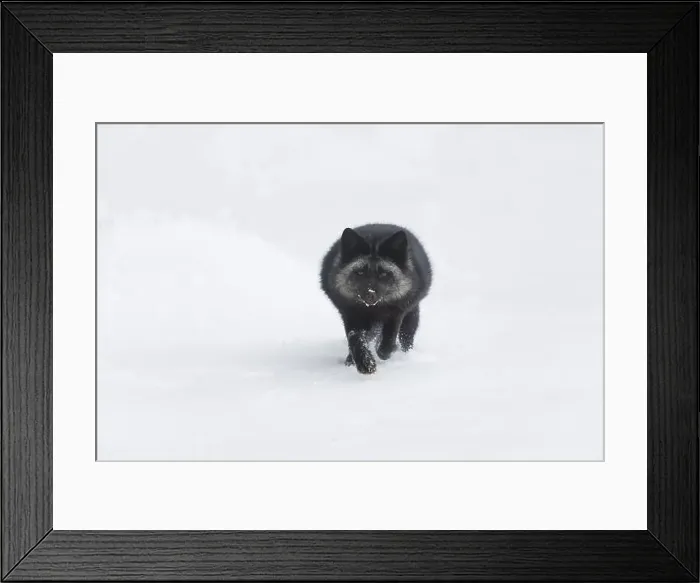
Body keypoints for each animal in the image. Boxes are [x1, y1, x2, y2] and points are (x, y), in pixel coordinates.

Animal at [320, 223, 432, 374]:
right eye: (360, 272)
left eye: (384, 274)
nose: (370, 294)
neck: (373, 310)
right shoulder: (351, 315)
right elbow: (355, 339)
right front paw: (364, 362)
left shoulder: (396, 313)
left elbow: (388, 339)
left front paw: (384, 351)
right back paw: (350, 361)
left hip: (411, 318)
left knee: (405, 339)